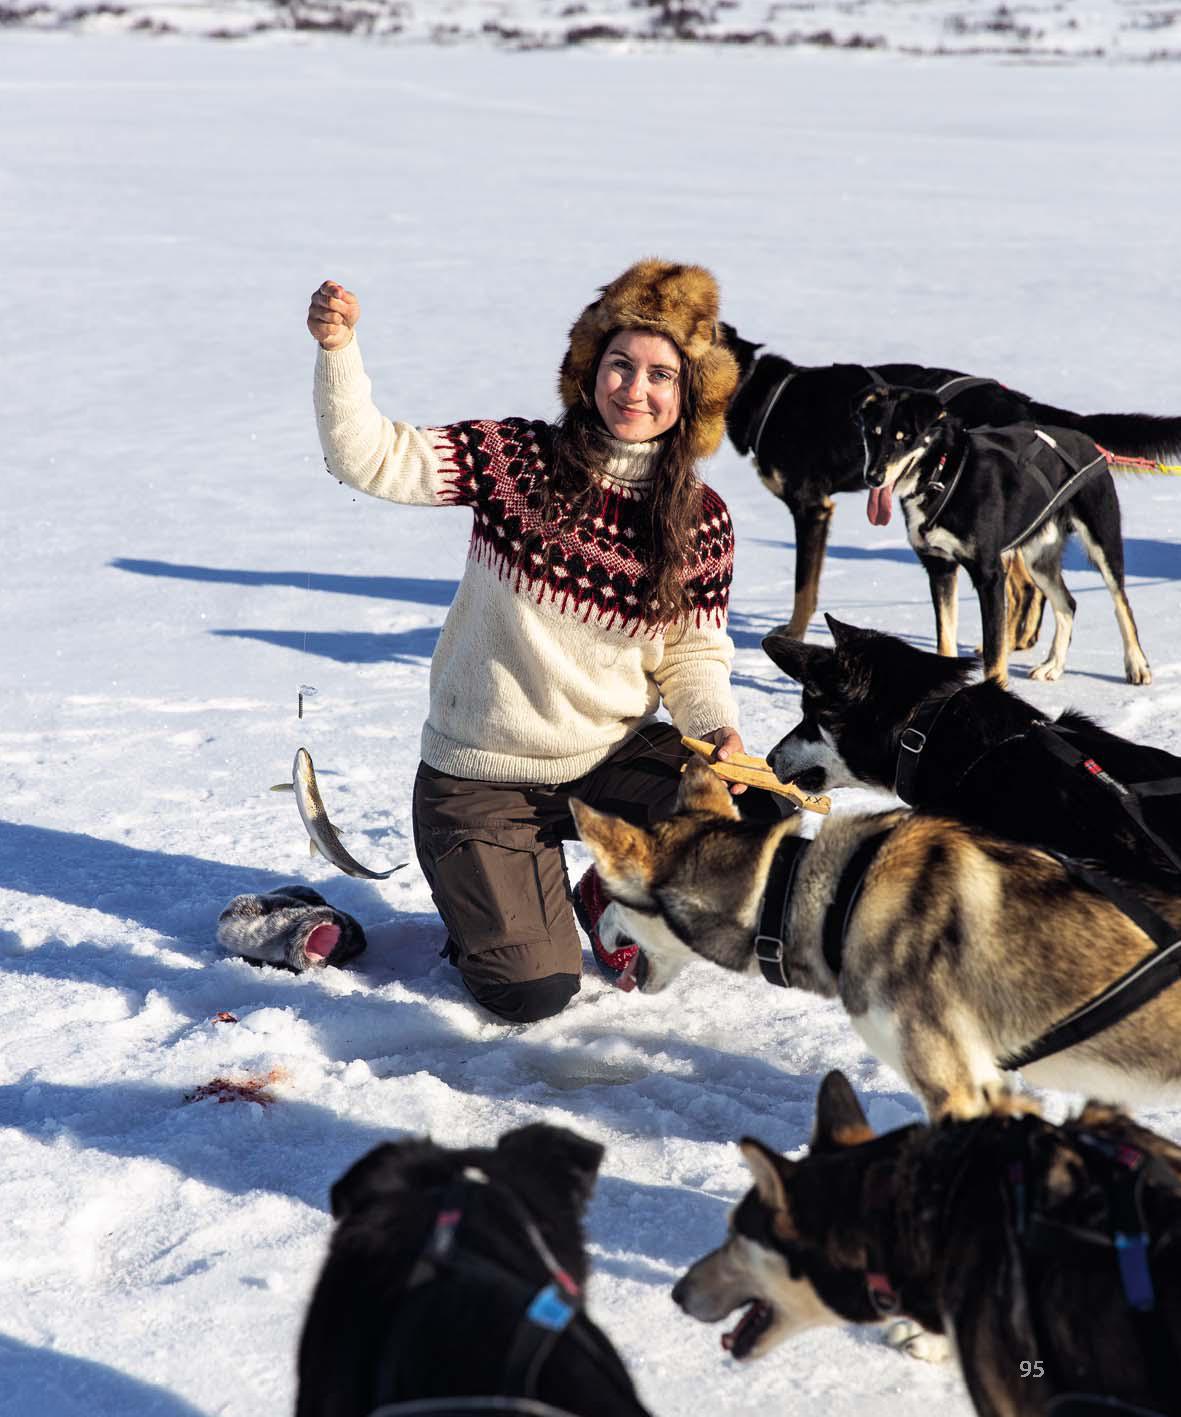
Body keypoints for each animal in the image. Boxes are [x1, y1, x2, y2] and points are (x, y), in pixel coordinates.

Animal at [720, 321, 1179, 643]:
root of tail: (1022, 403)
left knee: (1024, 587)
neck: (764, 395)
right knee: (1029, 586)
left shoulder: (812, 507)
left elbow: (805, 586)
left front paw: (794, 633)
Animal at [850, 388, 1145, 685]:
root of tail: (1086, 441)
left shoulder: (990, 577)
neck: (945, 476)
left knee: (1122, 603)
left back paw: (1137, 664)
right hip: (1038, 560)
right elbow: (945, 639)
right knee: (1068, 604)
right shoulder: (940, 569)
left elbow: (994, 650)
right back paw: (1053, 664)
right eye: (873, 434)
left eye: (904, 438)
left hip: (1102, 544)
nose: (873, 478)